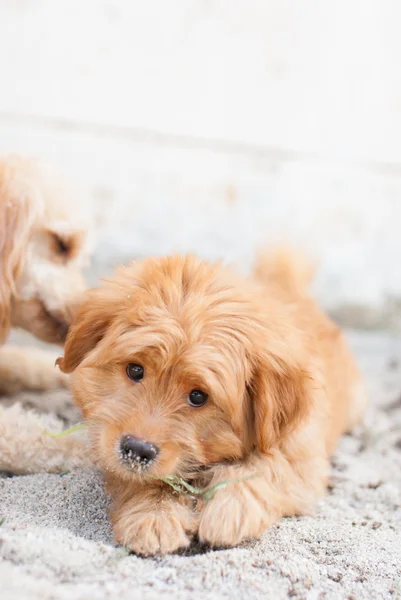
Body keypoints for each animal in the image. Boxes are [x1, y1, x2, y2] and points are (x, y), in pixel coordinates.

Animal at [57, 251, 366, 556]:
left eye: (198, 396)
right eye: (135, 370)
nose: (137, 450)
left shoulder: (301, 454)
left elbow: (270, 467)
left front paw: (230, 510)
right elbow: (142, 480)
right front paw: (153, 517)